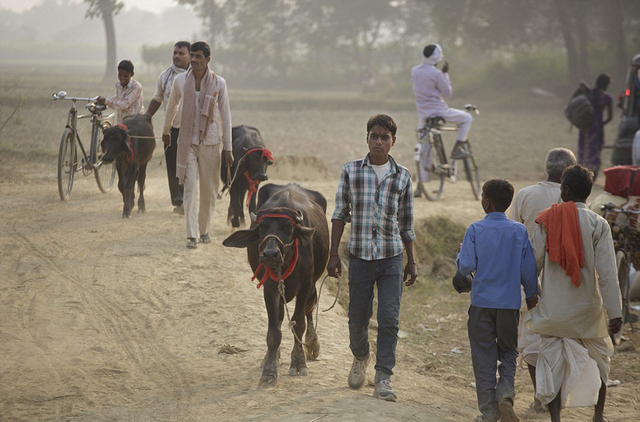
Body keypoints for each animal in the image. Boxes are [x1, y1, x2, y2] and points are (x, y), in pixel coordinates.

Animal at [221, 183, 330, 388]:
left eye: (288, 227)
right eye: (262, 227)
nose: (270, 254)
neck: (285, 261)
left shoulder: (305, 285)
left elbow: (299, 323)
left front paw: (298, 363)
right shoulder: (270, 287)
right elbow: (274, 331)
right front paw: (269, 371)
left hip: (312, 284)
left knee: (309, 310)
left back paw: (312, 344)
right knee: (280, 317)